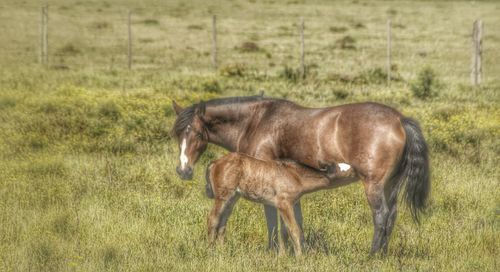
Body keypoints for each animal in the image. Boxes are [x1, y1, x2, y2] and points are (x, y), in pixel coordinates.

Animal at [205, 153, 358, 255]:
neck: (297, 177)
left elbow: (284, 231)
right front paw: (300, 258)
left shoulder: (289, 204)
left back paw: (222, 250)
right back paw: (211, 250)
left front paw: (282, 257)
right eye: (347, 169)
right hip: (223, 195)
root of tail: (215, 163)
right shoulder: (284, 203)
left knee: (223, 222)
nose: (359, 171)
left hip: (233, 196)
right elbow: (294, 230)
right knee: (213, 218)